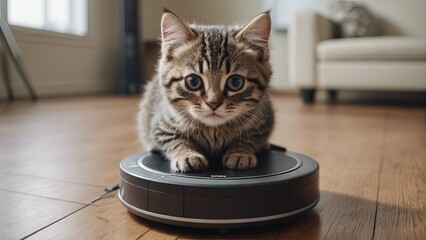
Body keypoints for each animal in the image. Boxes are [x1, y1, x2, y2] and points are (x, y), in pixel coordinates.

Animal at [138, 8, 274, 171]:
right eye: (193, 81)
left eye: (235, 82)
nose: (213, 104)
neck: (213, 130)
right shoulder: (160, 125)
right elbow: (175, 139)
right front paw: (188, 155)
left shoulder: (264, 119)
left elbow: (250, 137)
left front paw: (240, 153)